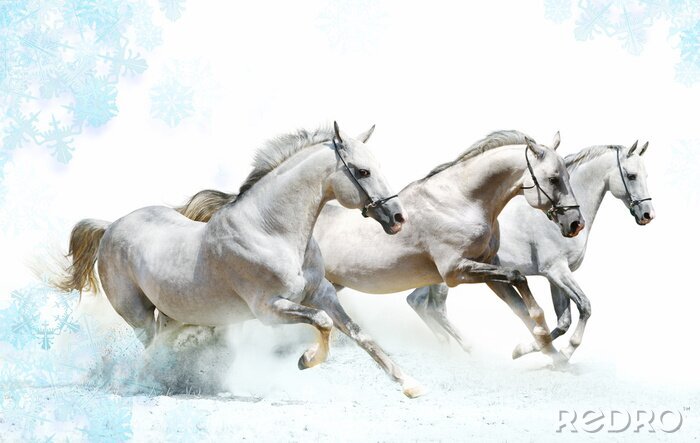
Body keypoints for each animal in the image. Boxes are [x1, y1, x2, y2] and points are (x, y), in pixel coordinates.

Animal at [57, 122, 426, 398]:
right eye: (362, 172)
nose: (397, 218)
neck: (271, 231)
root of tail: (110, 226)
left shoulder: (322, 293)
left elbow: (360, 334)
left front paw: (411, 385)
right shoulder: (269, 309)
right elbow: (322, 322)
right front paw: (306, 360)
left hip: (174, 312)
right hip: (138, 315)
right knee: (152, 347)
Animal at [176, 129, 584, 364]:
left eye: (566, 175)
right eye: (553, 178)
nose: (574, 223)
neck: (462, 200)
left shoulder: (485, 271)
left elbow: (522, 302)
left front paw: (546, 352)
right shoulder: (456, 271)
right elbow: (520, 280)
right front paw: (544, 343)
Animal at [408, 141, 652, 360]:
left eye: (646, 176)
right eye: (632, 176)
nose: (648, 214)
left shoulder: (555, 276)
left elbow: (563, 321)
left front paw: (529, 350)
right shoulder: (556, 271)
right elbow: (584, 306)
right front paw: (563, 352)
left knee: (417, 301)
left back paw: (445, 346)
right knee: (435, 308)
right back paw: (467, 348)